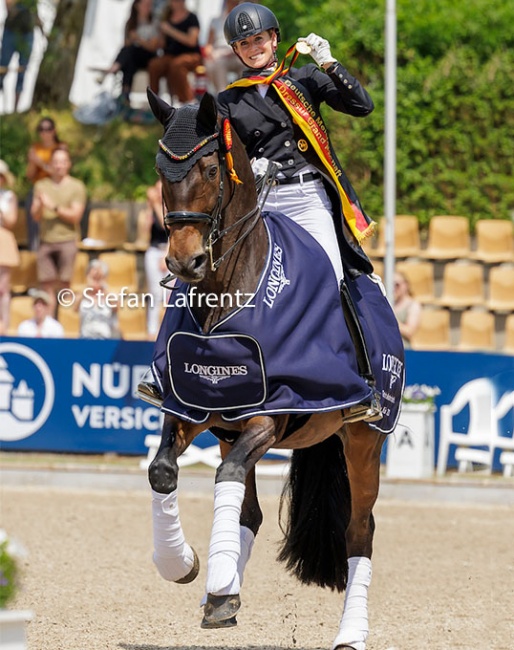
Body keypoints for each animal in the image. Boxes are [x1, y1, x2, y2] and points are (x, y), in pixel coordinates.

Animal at [142, 87, 402, 648]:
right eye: (160, 170)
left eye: (211, 168)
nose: (184, 263)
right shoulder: (191, 407)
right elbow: (162, 471)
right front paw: (184, 565)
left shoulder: (270, 417)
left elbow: (227, 474)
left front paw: (216, 578)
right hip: (228, 430)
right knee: (251, 509)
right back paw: (221, 593)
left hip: (363, 440)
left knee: (360, 531)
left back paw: (350, 633)